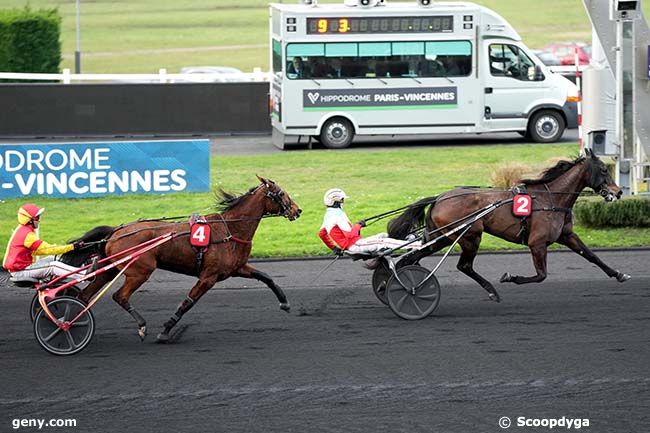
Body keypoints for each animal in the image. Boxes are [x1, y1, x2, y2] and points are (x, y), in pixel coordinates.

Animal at [62, 176, 300, 340]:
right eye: (281, 194)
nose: (298, 210)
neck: (229, 229)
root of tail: (116, 231)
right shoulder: (208, 277)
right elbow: (187, 302)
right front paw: (166, 330)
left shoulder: (237, 268)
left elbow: (266, 277)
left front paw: (285, 303)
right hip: (140, 271)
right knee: (119, 296)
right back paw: (140, 325)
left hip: (111, 269)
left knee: (84, 297)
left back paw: (69, 323)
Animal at [384, 148, 628, 300]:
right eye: (604, 170)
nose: (618, 192)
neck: (551, 199)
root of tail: (439, 198)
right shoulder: (537, 243)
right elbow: (541, 275)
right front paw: (511, 277)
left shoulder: (566, 235)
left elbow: (591, 256)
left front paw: (619, 274)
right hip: (470, 236)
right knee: (464, 266)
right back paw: (491, 291)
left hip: (440, 237)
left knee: (411, 257)